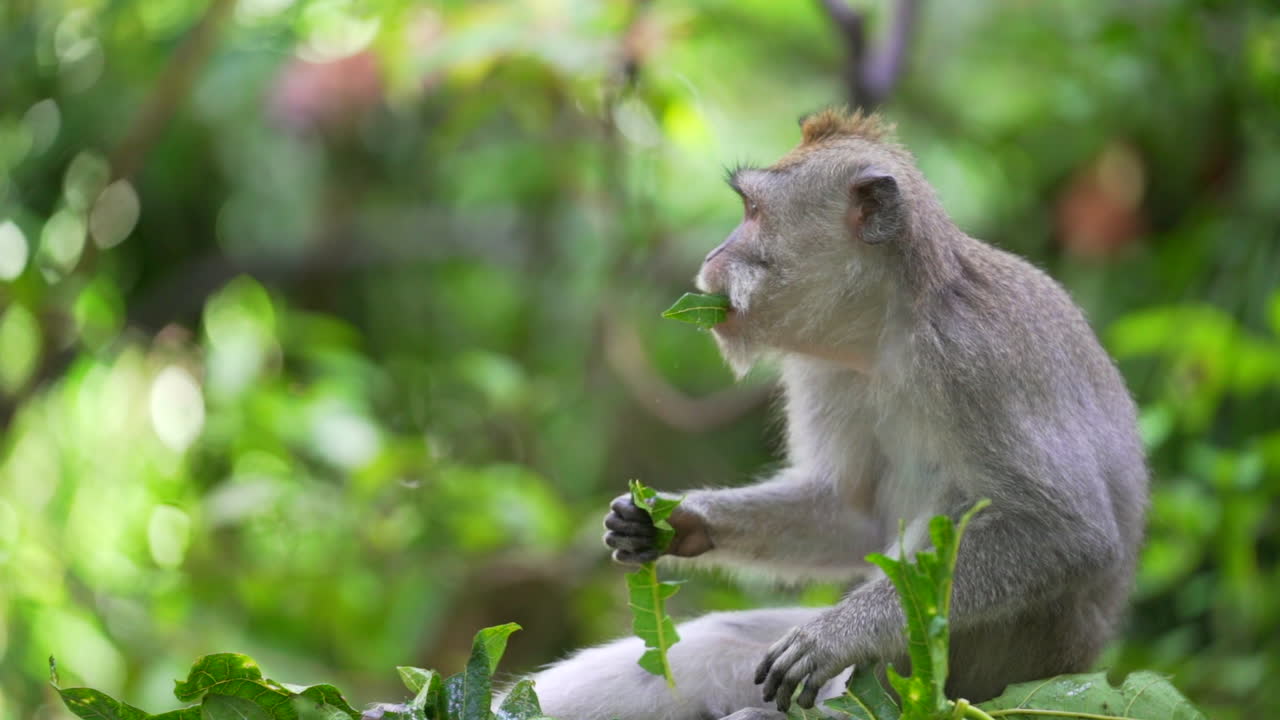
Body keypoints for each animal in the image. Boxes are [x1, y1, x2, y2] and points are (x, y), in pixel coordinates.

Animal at [522, 109, 1148, 720]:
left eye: (753, 212)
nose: (711, 256)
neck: (887, 331)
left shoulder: (975, 357)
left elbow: (1069, 535)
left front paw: (837, 636)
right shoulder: (825, 370)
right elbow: (852, 515)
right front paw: (674, 521)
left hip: (1002, 664)